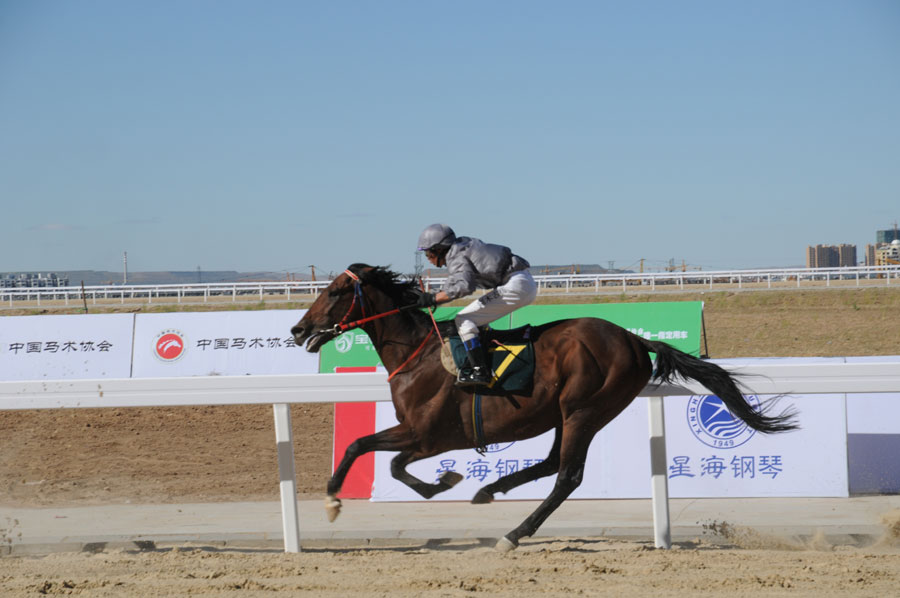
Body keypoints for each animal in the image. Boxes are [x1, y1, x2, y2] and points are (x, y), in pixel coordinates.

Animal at [288, 264, 796, 556]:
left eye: (335, 292)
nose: (297, 329)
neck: (420, 353)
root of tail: (633, 339)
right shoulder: (419, 434)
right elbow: (373, 454)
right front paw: (444, 483)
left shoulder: (428, 435)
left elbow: (374, 454)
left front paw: (339, 499)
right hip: (562, 414)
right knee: (553, 463)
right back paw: (490, 490)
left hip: (584, 409)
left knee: (567, 475)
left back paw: (513, 532)